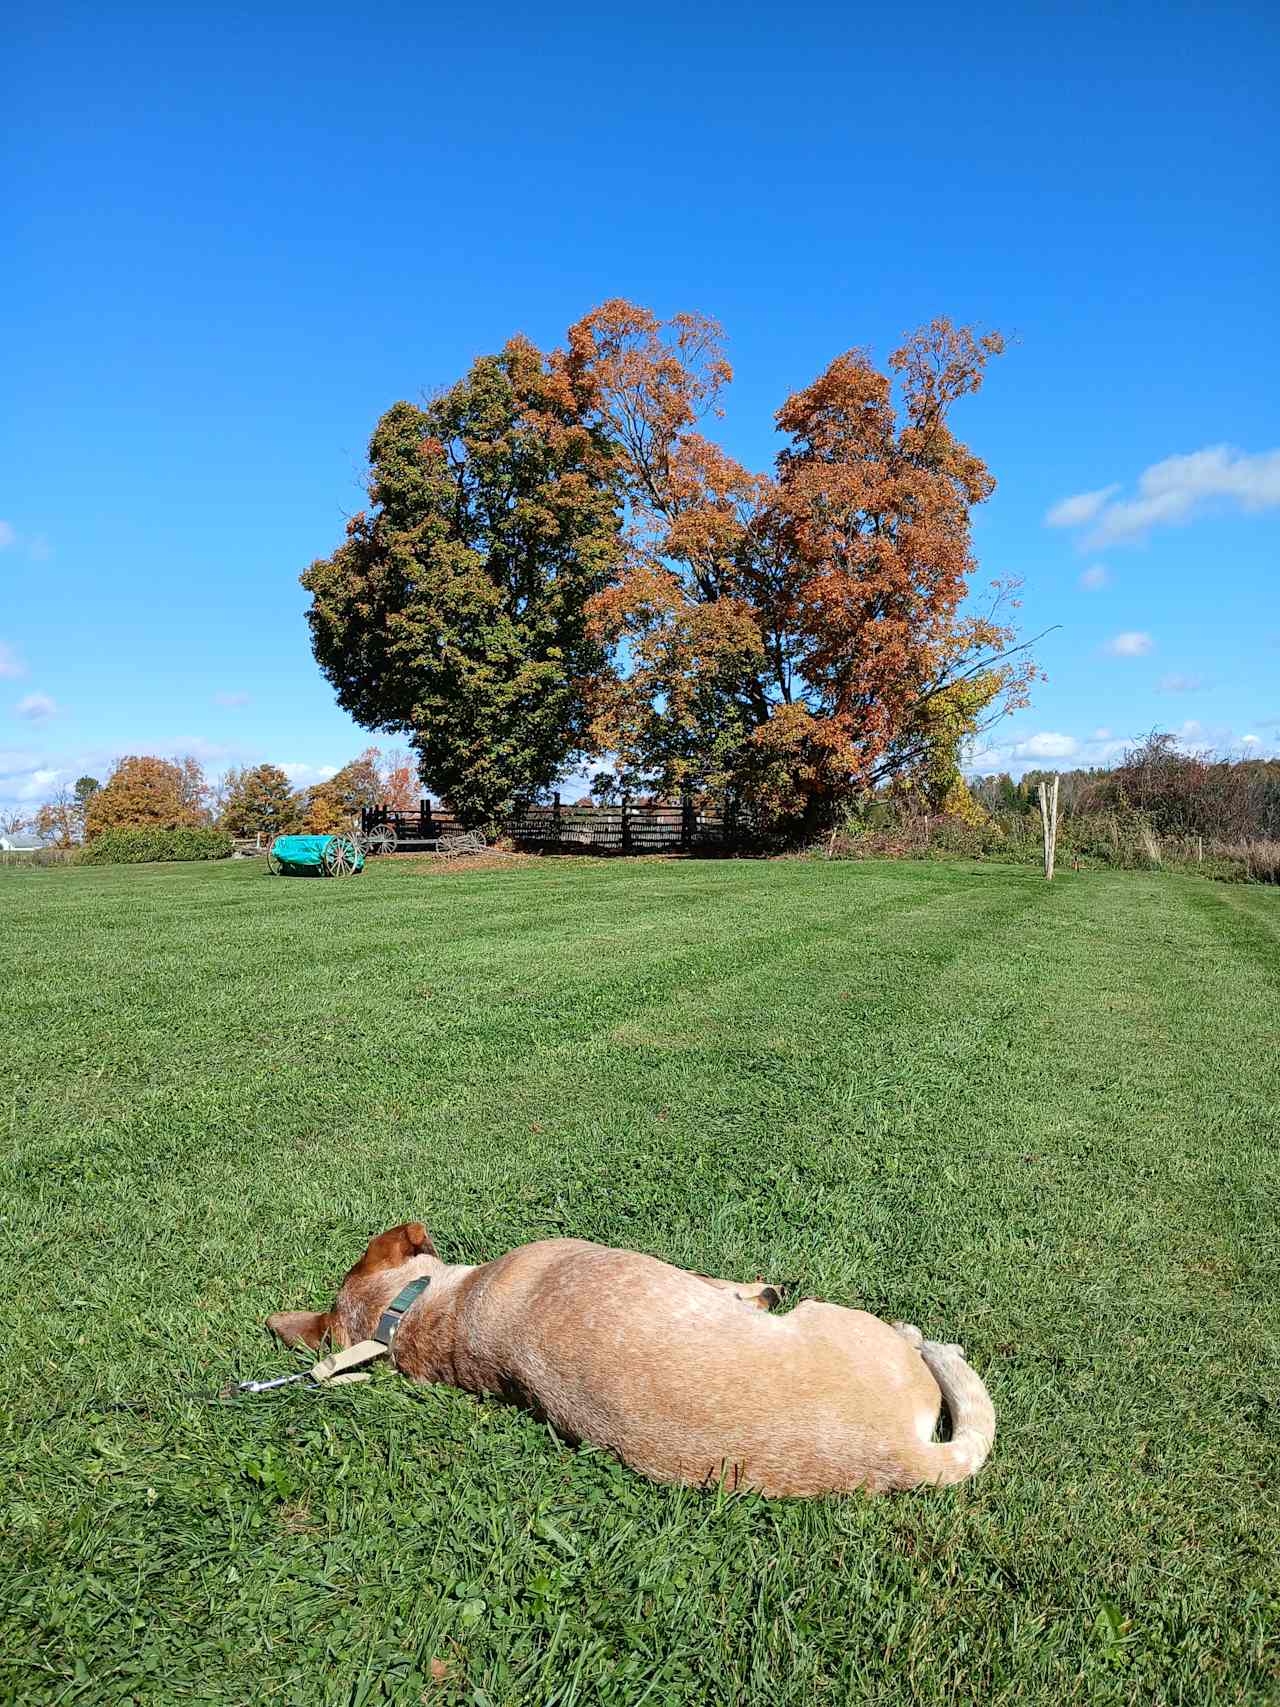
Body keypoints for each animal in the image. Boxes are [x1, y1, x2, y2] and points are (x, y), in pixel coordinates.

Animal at [267, 1229, 989, 1495]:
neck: (417, 1319)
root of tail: (906, 1456)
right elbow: (721, 1283)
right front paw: (755, 1290)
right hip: (837, 1318)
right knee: (920, 1344)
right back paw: (924, 1337)